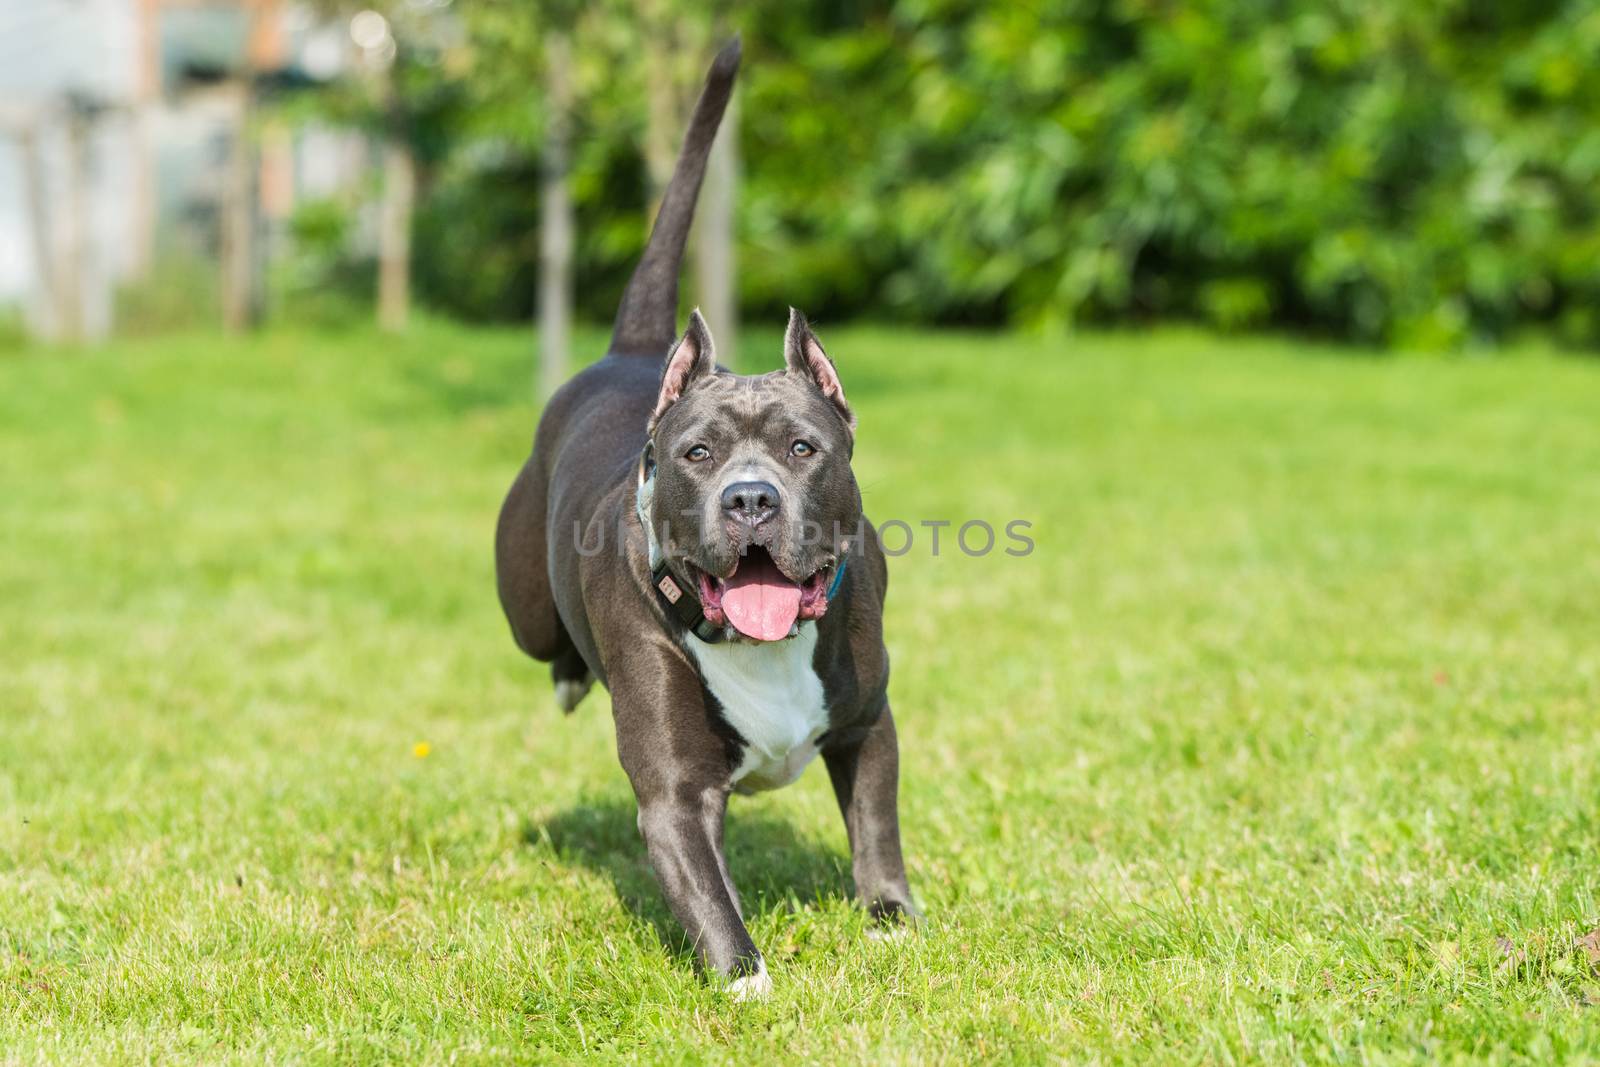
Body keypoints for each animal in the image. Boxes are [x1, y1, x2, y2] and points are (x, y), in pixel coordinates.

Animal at [489, 35, 915, 1004]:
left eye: (802, 447)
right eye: (697, 453)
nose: (750, 498)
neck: (762, 642)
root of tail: (634, 351)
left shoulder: (869, 723)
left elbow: (877, 829)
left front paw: (895, 921)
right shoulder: (678, 794)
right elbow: (709, 892)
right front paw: (747, 982)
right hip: (525, 603)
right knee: (546, 644)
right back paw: (569, 678)